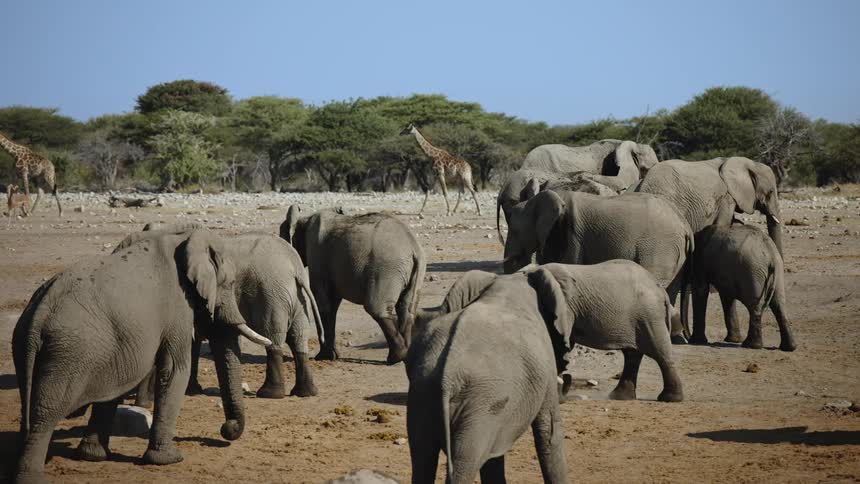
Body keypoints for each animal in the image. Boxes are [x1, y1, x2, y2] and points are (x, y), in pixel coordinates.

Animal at [11, 229, 271, 483]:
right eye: (231, 282)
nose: (226, 430)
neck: (184, 238)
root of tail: (39, 310)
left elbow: (113, 387)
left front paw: (93, 456)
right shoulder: (177, 307)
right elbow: (176, 371)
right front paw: (170, 459)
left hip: (31, 346)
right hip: (68, 353)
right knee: (44, 415)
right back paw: (30, 476)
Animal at [123, 224, 325, 400]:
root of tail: (294, 266)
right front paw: (192, 390)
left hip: (272, 294)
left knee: (273, 335)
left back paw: (269, 394)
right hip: (295, 297)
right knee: (298, 336)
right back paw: (305, 392)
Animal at [281, 206, 426, 364]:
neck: (305, 219)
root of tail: (413, 248)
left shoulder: (316, 254)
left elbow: (324, 304)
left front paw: (323, 357)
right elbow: (333, 304)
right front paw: (332, 356)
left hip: (387, 269)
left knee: (376, 309)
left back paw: (395, 357)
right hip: (414, 271)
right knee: (406, 310)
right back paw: (404, 356)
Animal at [691, 223, 797, 351]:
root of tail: (770, 254)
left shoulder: (700, 261)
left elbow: (701, 289)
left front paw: (695, 341)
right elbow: (726, 295)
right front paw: (733, 340)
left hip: (752, 271)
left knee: (755, 306)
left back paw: (752, 345)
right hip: (776, 270)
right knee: (778, 305)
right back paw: (788, 347)